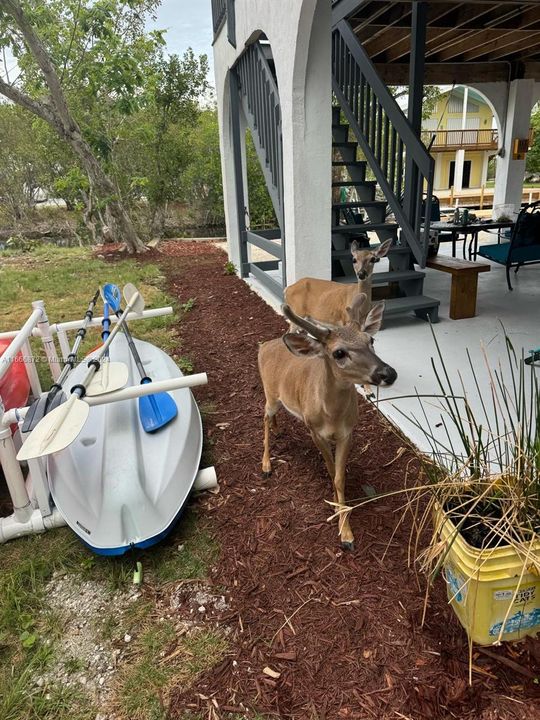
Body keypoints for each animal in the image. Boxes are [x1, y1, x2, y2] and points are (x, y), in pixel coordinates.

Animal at [258, 294, 396, 552]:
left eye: (371, 339)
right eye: (339, 353)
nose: (388, 373)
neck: (332, 416)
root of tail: (263, 346)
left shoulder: (348, 432)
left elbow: (339, 477)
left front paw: (345, 529)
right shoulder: (314, 431)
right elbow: (331, 470)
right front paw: (341, 522)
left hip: (280, 398)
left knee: (272, 417)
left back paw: (278, 431)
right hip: (269, 392)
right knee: (263, 416)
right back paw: (266, 465)